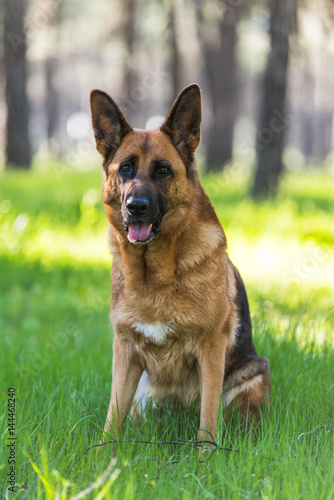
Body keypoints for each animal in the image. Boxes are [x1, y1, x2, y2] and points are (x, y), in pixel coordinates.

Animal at [90, 84, 270, 444]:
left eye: (163, 169)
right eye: (125, 168)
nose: (136, 206)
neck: (154, 276)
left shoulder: (211, 350)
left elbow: (207, 423)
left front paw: (206, 459)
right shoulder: (125, 352)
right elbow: (111, 420)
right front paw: (102, 457)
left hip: (252, 372)